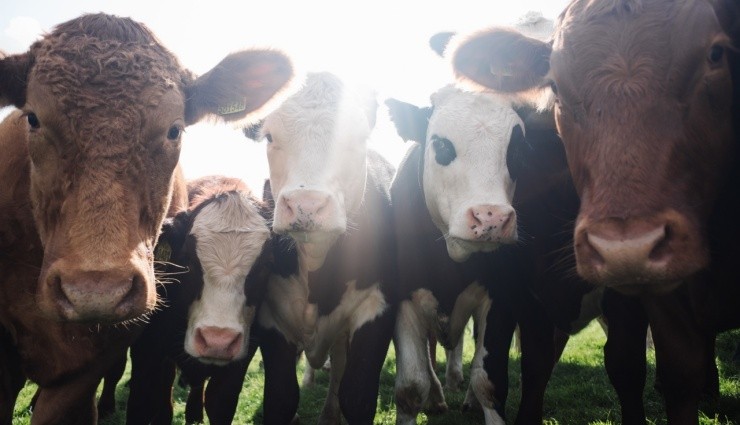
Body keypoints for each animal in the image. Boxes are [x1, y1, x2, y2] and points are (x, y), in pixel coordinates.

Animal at [253, 71, 396, 422]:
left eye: (358, 137)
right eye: (269, 136)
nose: (306, 205)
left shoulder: (377, 307)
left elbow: (356, 396)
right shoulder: (270, 317)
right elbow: (280, 398)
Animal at [446, 1, 740, 422]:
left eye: (716, 55)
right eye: (554, 83)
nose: (627, 247)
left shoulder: (628, 298)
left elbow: (625, 364)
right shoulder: (527, 289)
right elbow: (536, 364)